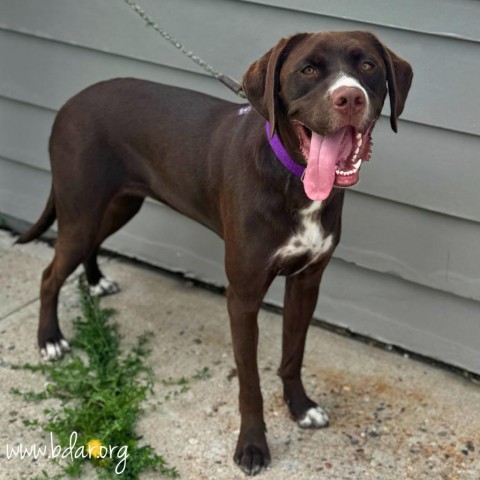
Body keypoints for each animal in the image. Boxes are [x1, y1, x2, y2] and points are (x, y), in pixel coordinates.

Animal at [16, 31, 410, 476]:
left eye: (368, 66)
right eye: (308, 69)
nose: (350, 98)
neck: (292, 176)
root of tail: (69, 103)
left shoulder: (306, 282)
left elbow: (293, 355)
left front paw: (301, 408)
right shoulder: (243, 297)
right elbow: (250, 382)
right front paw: (252, 446)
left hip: (117, 205)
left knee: (92, 245)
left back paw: (97, 281)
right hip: (81, 209)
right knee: (50, 275)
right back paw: (50, 340)